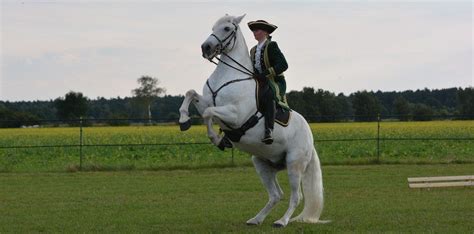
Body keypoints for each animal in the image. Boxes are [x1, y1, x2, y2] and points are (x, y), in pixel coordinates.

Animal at [179, 13, 326, 228]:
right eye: (213, 27)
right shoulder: (206, 101)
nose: (206, 48)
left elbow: (208, 114)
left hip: (294, 163)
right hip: (263, 164)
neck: (229, 76)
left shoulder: (234, 114)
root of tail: (310, 137)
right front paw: (184, 120)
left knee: (295, 196)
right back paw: (256, 219)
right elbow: (191, 95)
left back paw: (281, 221)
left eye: (226, 29)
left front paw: (217, 139)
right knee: (276, 195)